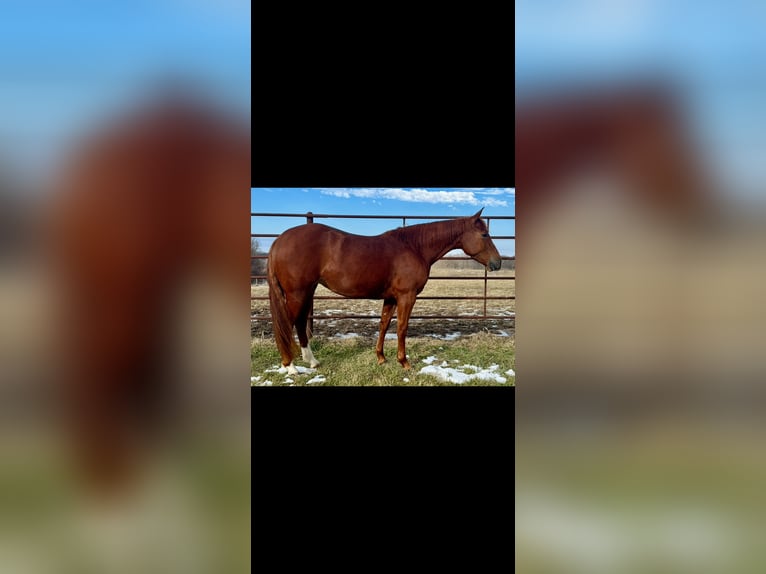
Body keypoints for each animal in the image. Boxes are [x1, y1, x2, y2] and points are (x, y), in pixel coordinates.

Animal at [268, 209, 508, 376]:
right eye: (484, 234)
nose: (497, 263)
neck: (414, 248)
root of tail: (280, 240)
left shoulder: (390, 298)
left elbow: (383, 325)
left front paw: (381, 358)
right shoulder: (406, 296)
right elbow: (402, 328)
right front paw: (404, 362)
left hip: (306, 292)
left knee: (300, 323)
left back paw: (312, 361)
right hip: (297, 293)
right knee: (289, 324)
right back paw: (291, 367)